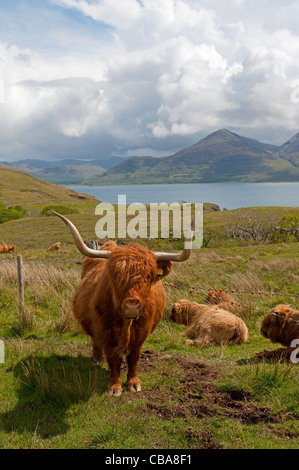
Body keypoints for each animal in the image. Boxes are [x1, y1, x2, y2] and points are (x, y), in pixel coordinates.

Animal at [54, 211, 197, 394]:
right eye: (115, 275)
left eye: (149, 276)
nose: (132, 306)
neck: (126, 322)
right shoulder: (104, 330)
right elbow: (112, 357)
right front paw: (115, 386)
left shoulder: (142, 332)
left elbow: (134, 357)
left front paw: (134, 383)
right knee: (95, 340)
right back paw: (96, 357)